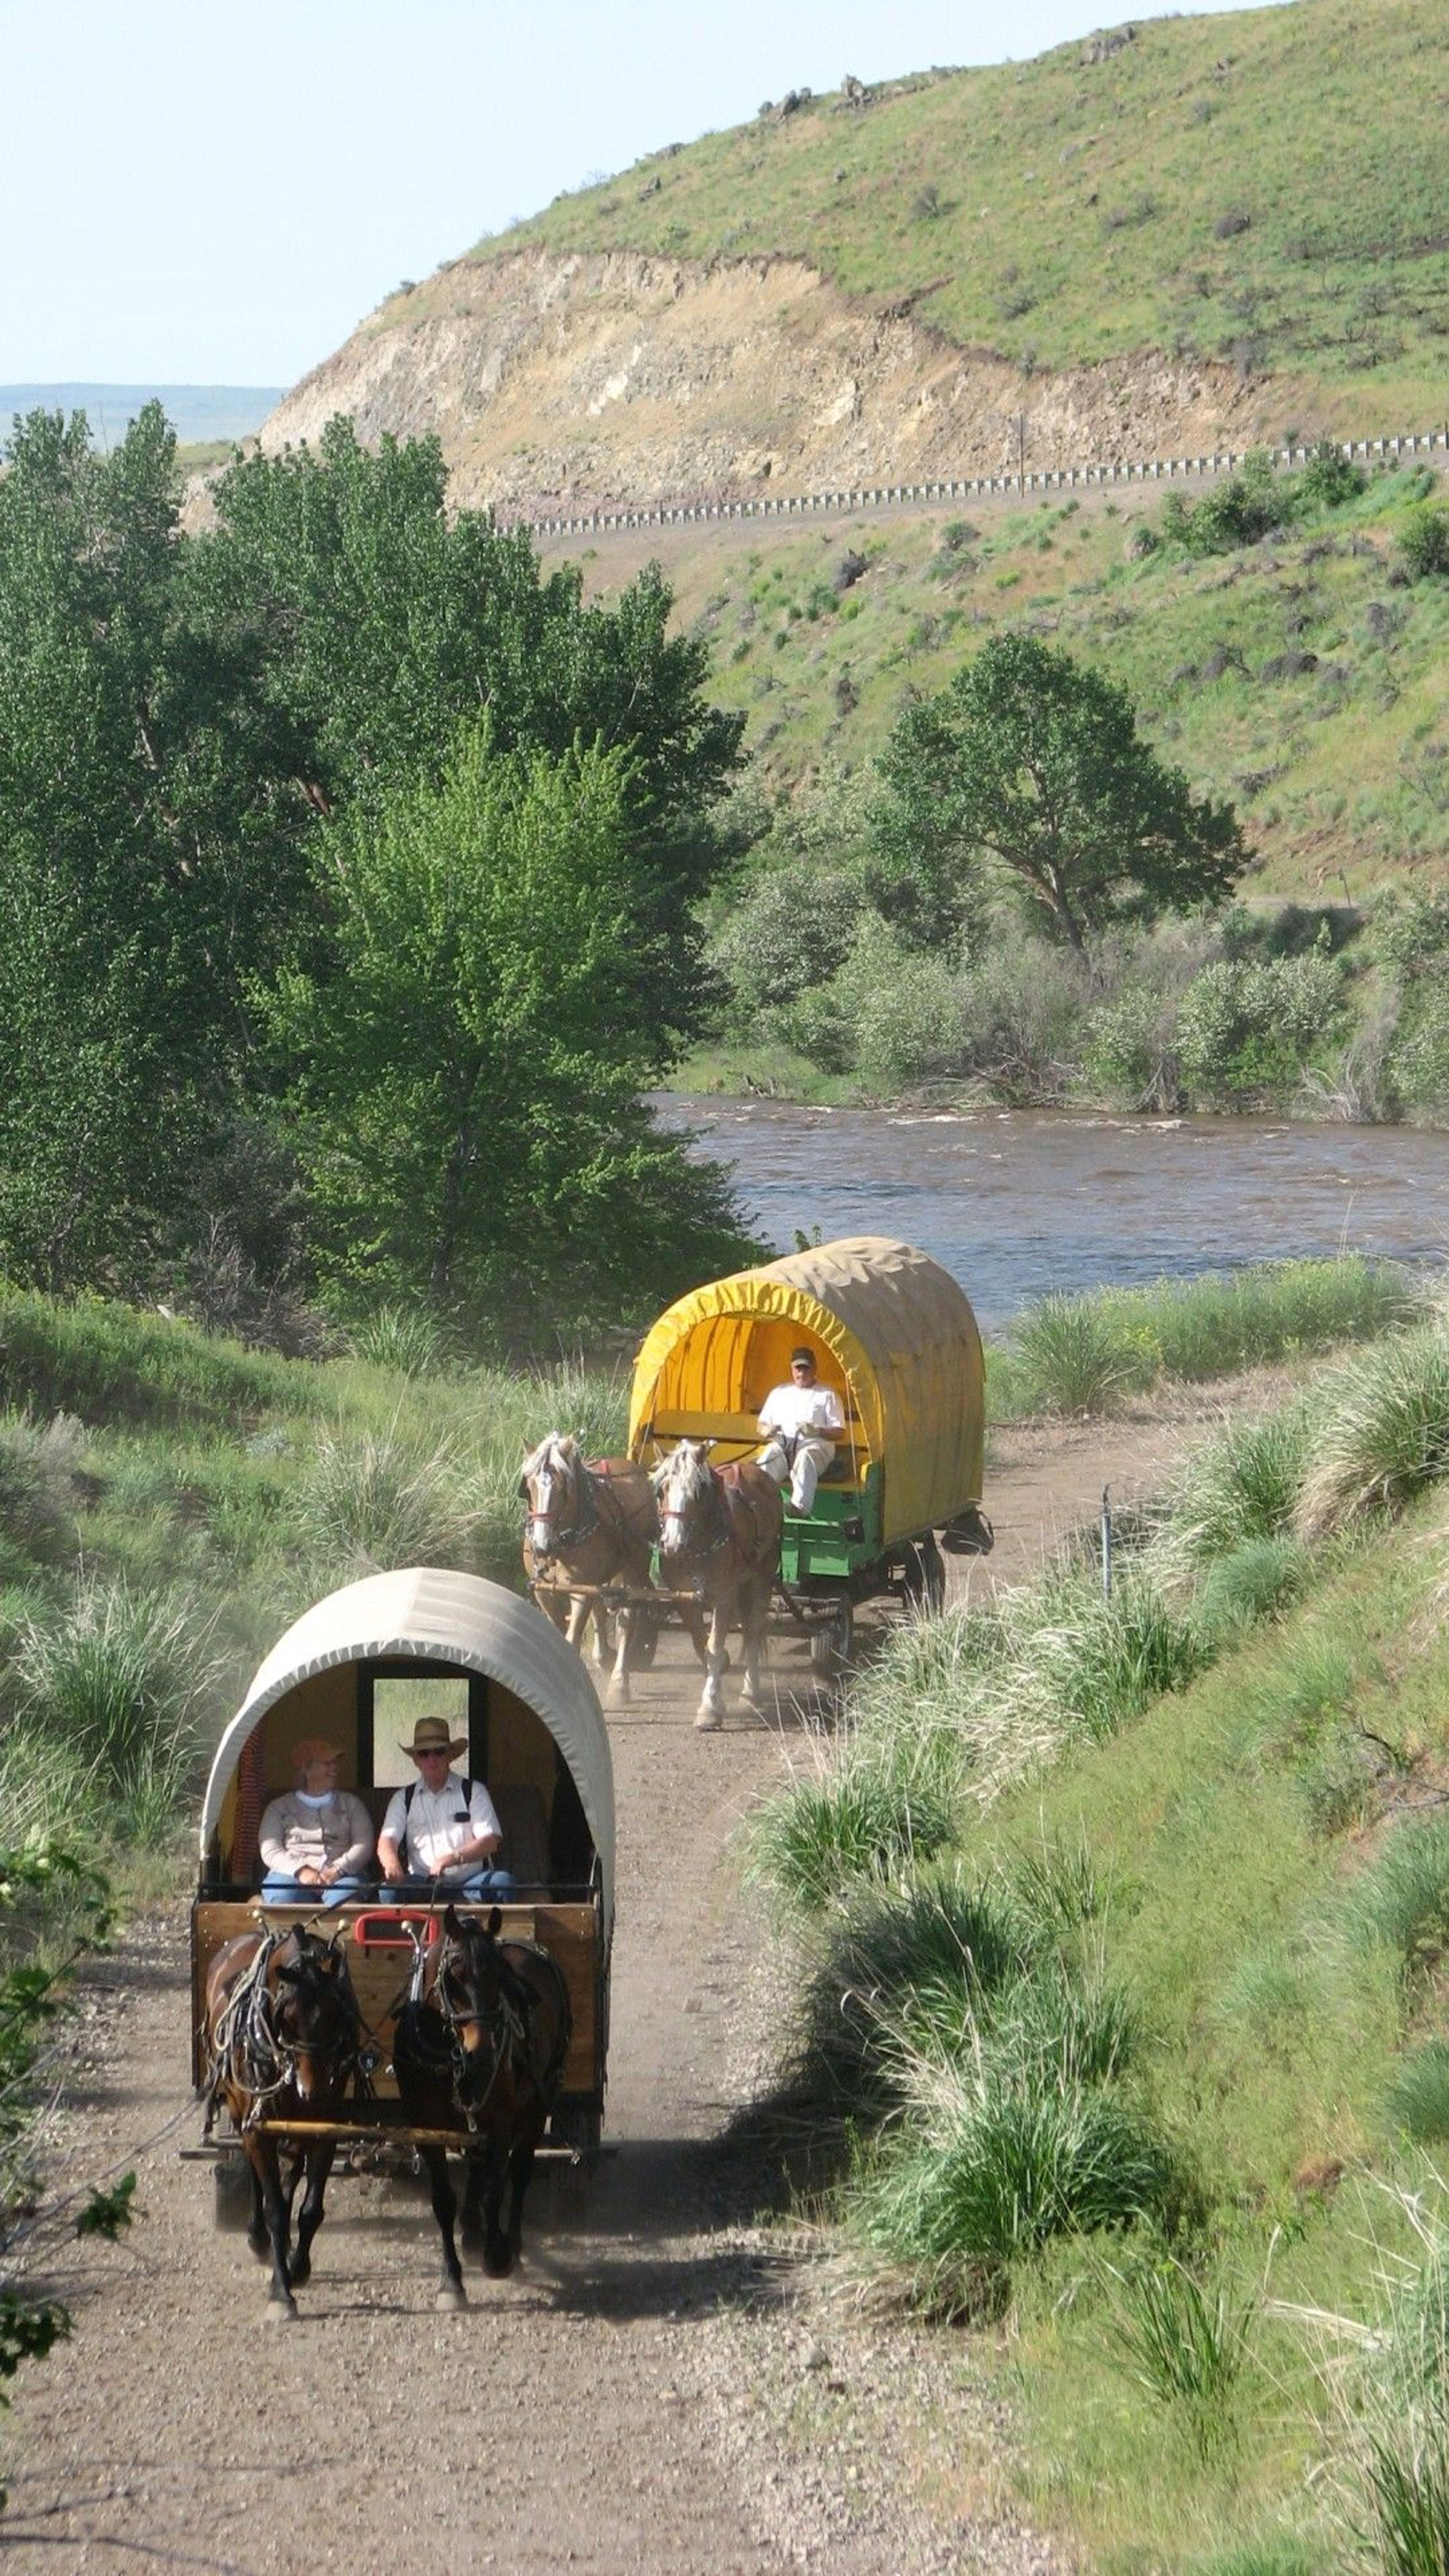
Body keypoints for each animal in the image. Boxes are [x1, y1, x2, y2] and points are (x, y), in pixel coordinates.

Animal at [201, 1927, 358, 2328]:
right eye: (286, 2016)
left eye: (336, 2014)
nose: (312, 2091)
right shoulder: (259, 2126)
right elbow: (273, 2205)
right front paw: (281, 2293)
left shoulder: (323, 2128)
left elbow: (309, 2208)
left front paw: (297, 2267)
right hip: (242, 2109)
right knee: (259, 2177)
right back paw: (260, 2238)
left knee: (289, 2173)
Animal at [389, 1906, 570, 2308]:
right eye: (453, 1976)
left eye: (500, 1975)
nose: (483, 2053)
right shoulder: (427, 2125)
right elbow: (444, 2200)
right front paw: (451, 2281)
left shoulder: (502, 2117)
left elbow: (495, 2188)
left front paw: (498, 2256)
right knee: (478, 2164)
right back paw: (472, 2232)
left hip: (537, 2101)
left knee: (519, 2172)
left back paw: (511, 2242)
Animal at [645, 1432, 778, 1731]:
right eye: (662, 1490)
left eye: (697, 1492)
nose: (673, 1544)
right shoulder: (683, 1595)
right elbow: (701, 1645)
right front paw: (717, 1687)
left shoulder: (725, 1595)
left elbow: (714, 1648)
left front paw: (709, 1708)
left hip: (762, 1576)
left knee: (754, 1629)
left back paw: (751, 1693)